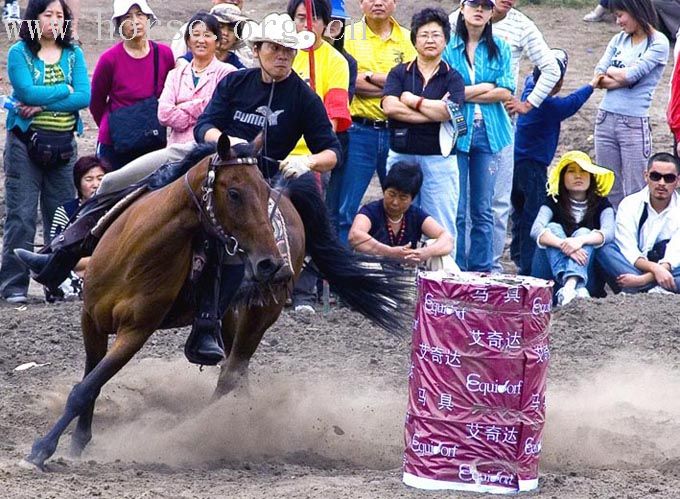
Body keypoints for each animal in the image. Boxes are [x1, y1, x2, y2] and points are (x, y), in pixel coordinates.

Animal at [25, 136, 414, 468]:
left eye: (262, 192)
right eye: (235, 192)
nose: (270, 264)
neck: (135, 250)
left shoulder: (136, 331)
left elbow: (87, 387)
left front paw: (41, 449)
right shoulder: (91, 319)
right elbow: (90, 382)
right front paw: (77, 442)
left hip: (261, 314)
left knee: (230, 375)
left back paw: (197, 432)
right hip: (228, 317)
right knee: (237, 374)